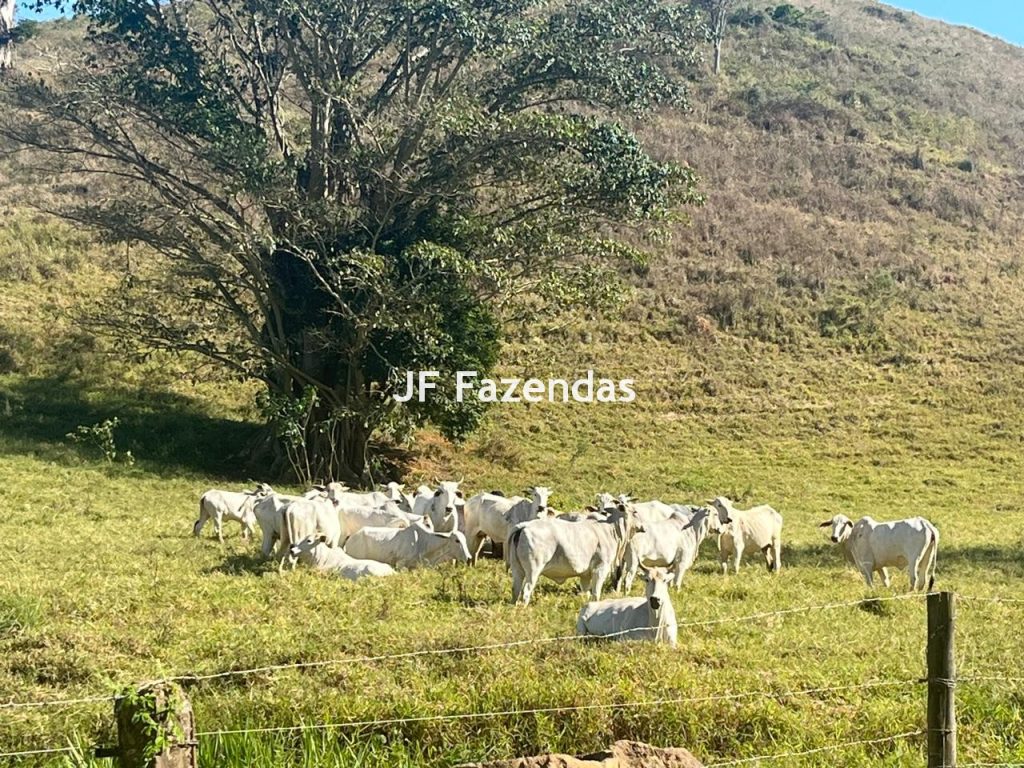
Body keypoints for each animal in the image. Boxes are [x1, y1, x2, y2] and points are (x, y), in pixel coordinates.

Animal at [507, 505, 643, 606]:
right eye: (635, 512)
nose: (643, 526)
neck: (610, 530)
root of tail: (524, 526)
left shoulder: (585, 575)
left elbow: (586, 592)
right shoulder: (600, 568)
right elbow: (596, 592)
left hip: (517, 569)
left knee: (515, 590)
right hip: (533, 570)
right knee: (526, 590)